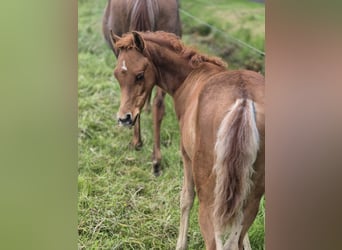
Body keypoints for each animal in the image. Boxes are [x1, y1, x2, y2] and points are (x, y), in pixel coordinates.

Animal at [109, 31, 264, 250]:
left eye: (139, 75)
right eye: (117, 74)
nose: (124, 118)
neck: (190, 77)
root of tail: (243, 99)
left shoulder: (186, 156)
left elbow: (186, 198)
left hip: (209, 198)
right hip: (253, 195)